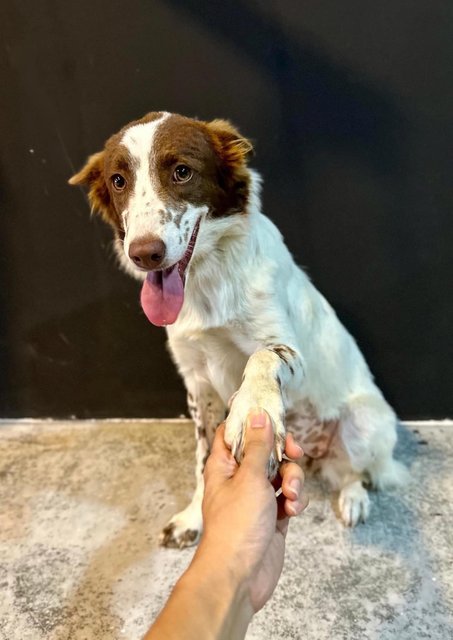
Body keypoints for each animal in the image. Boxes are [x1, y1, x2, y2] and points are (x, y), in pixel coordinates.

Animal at [69, 112, 406, 548]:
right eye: (118, 180)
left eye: (182, 171)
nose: (145, 253)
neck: (206, 282)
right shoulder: (198, 384)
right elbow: (202, 461)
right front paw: (195, 516)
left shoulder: (290, 352)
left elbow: (262, 357)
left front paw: (252, 410)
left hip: (365, 424)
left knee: (356, 473)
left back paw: (353, 500)